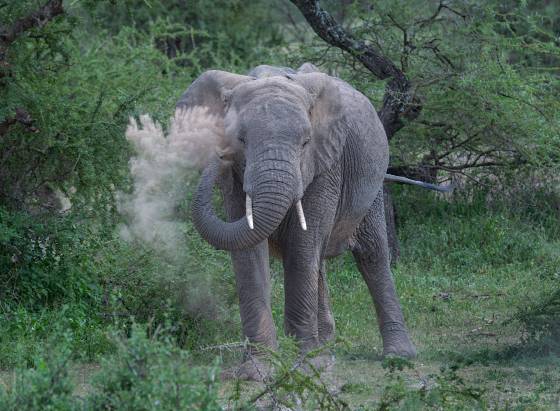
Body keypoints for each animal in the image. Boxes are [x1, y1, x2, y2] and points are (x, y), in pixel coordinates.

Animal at [177, 62, 418, 382]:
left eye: (305, 142)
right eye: (240, 140)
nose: (219, 154)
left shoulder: (326, 163)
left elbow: (302, 247)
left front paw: (302, 368)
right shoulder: (235, 180)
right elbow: (249, 252)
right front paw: (257, 371)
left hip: (373, 184)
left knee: (372, 255)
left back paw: (397, 356)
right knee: (321, 263)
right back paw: (325, 353)